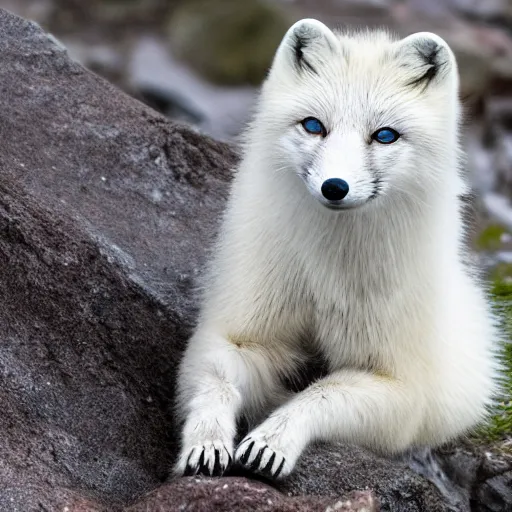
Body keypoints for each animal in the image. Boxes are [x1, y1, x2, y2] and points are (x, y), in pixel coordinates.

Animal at [174, 17, 498, 480]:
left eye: (385, 135)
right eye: (313, 125)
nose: (335, 187)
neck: (325, 271)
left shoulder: (399, 387)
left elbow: (321, 393)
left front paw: (270, 442)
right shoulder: (238, 332)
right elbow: (214, 381)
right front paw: (206, 443)